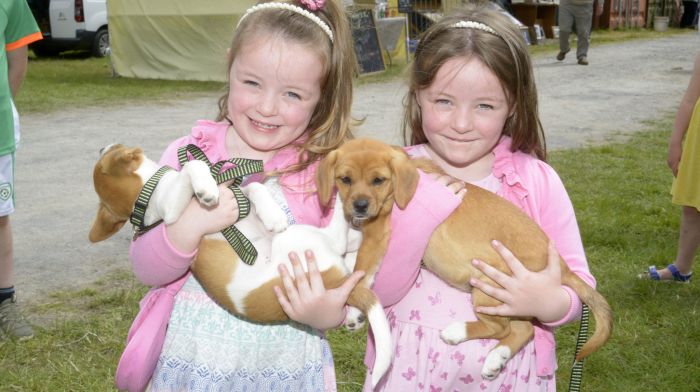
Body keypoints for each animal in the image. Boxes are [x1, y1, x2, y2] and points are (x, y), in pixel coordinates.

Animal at [88, 143, 394, 386]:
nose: (101, 146)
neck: (149, 196)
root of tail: (334, 282)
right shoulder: (174, 211)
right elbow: (195, 166)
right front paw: (207, 189)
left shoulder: (240, 195)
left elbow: (254, 185)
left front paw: (269, 212)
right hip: (297, 239)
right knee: (341, 239)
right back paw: (341, 201)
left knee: (353, 252)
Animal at [318, 137, 612, 380]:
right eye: (344, 179)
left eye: (378, 180)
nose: (359, 207)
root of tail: (562, 266)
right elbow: (354, 263)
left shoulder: (376, 234)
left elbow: (362, 270)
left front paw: (355, 304)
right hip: (510, 301)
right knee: (523, 330)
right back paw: (496, 359)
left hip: (487, 287)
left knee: (500, 328)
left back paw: (457, 332)